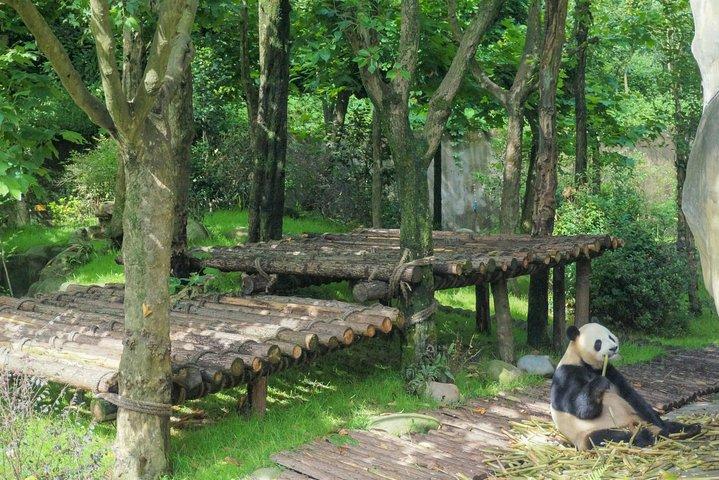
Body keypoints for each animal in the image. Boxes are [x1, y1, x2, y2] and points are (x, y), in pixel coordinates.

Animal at [550, 323, 701, 450]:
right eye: (598, 342)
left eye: (610, 336)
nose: (613, 348)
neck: (588, 364)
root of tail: (632, 424)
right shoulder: (567, 374)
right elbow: (579, 408)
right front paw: (600, 384)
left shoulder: (611, 371)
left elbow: (631, 396)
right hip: (589, 431)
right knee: (607, 437)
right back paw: (646, 436)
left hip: (639, 417)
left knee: (665, 423)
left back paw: (688, 428)